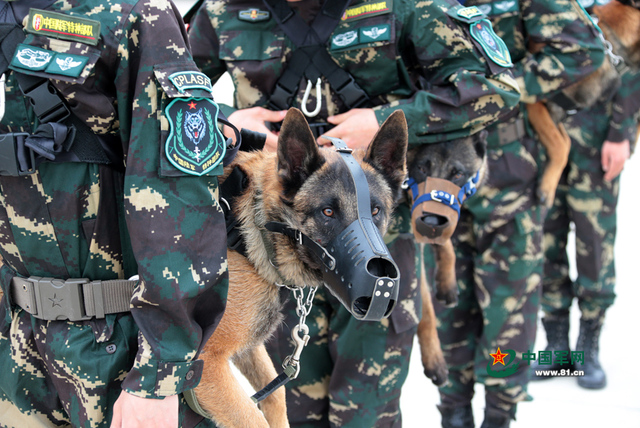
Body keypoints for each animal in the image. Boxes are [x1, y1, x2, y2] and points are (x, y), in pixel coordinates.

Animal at [192, 108, 408, 426]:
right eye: (327, 212)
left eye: (376, 211)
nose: (382, 285)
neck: (252, 230)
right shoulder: (206, 362)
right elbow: (251, 417)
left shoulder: (248, 346)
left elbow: (276, 395)